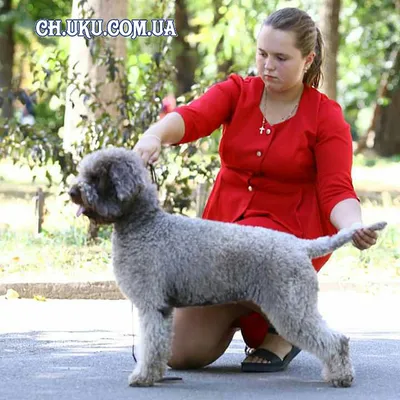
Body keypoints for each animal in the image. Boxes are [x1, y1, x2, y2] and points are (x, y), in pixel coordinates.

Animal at [69, 147, 388, 388]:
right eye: (86, 173)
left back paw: (341, 377)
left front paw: (143, 377)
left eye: (96, 177)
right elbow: (158, 346)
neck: (146, 226)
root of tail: (301, 246)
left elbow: (151, 345)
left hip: (290, 307)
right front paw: (155, 375)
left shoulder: (151, 305)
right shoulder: (162, 309)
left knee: (336, 340)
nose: (73, 191)